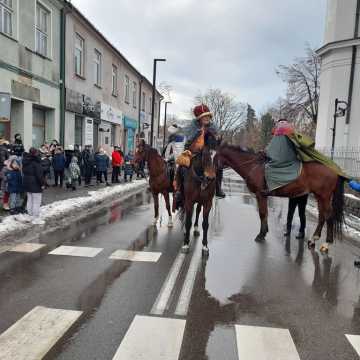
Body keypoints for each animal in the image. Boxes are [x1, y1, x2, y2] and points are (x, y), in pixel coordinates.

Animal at [217, 143, 346, 253]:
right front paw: (264, 232)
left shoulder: (260, 195)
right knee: (322, 216)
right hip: (319, 196)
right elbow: (265, 213)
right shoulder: (263, 196)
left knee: (328, 215)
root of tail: (335, 169)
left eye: (215, 155)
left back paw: (326, 244)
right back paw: (313, 239)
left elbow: (262, 214)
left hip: (324, 196)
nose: (214, 173)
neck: (253, 166)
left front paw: (261, 235)